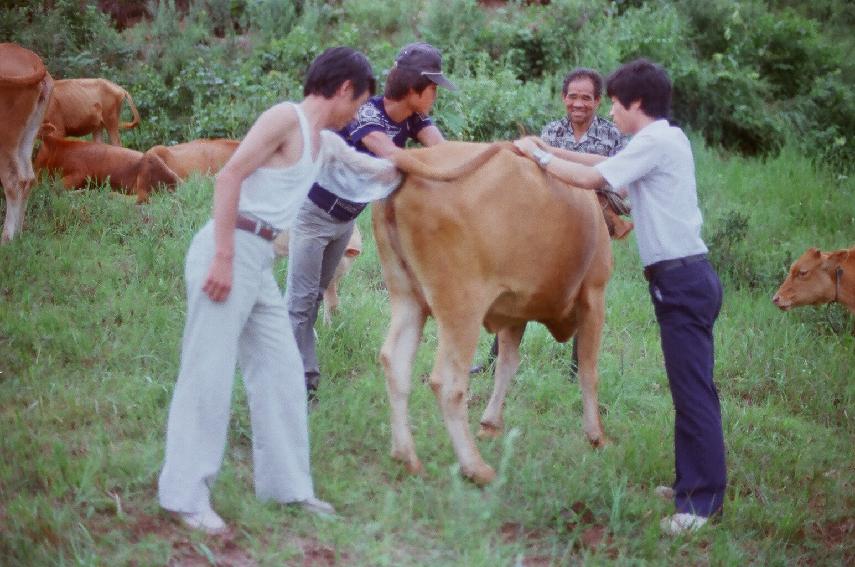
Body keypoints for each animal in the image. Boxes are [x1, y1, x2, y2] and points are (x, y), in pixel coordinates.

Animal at [0, 42, 54, 242]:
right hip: (28, 134)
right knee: (28, 177)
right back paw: (19, 234)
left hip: (5, 137)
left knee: (13, 180)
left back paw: (7, 238)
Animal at [34, 132, 180, 203]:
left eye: (38, 152)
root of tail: (178, 181)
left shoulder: (80, 172)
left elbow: (57, 187)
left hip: (147, 164)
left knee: (141, 197)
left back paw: (108, 194)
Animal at [372, 141, 608, 484]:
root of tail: (414, 158)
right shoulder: (594, 294)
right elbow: (589, 371)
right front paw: (596, 436)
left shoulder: (513, 313)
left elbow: (506, 365)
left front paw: (491, 424)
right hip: (461, 307)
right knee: (447, 383)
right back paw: (475, 467)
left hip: (406, 296)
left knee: (396, 362)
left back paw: (407, 457)